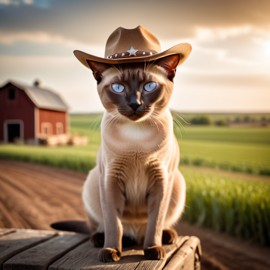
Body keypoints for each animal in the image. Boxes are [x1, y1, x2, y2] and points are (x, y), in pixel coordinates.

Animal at [81, 54, 188, 262]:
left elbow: (155, 222)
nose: (135, 104)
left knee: (154, 227)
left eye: (149, 86)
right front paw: (111, 251)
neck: (136, 138)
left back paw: (167, 236)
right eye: (118, 88)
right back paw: (104, 240)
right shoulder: (110, 179)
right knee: (101, 227)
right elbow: (113, 223)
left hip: (178, 184)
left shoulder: (161, 180)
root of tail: (136, 234)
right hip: (92, 181)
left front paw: (153, 250)